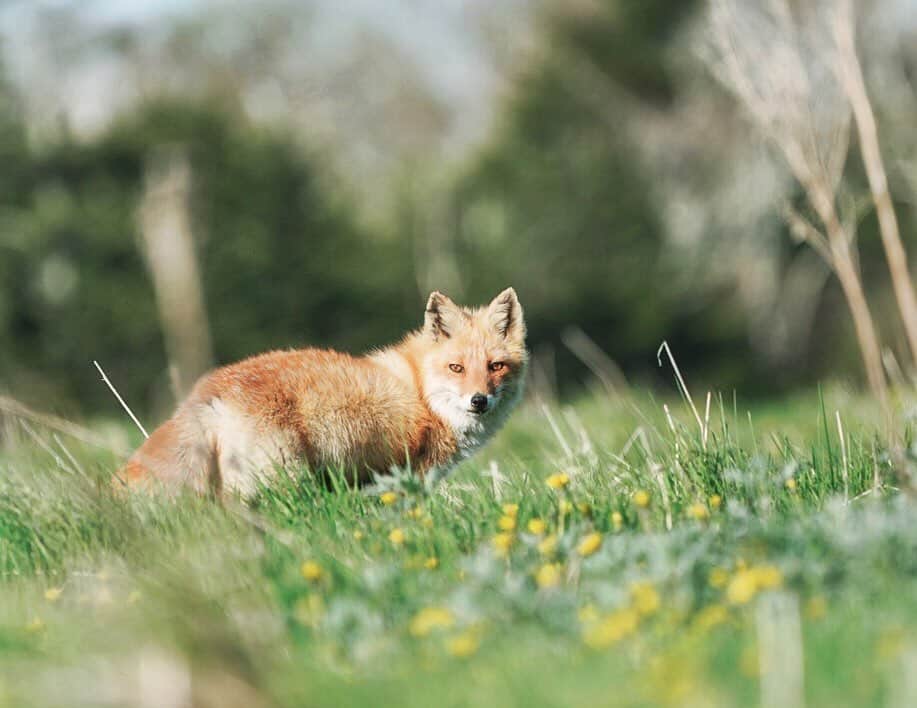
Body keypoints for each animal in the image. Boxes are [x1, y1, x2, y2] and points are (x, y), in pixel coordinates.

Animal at [120, 288, 527, 497]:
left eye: (495, 367)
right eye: (456, 368)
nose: (479, 401)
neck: (424, 395)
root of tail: (208, 390)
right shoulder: (411, 479)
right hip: (281, 481)